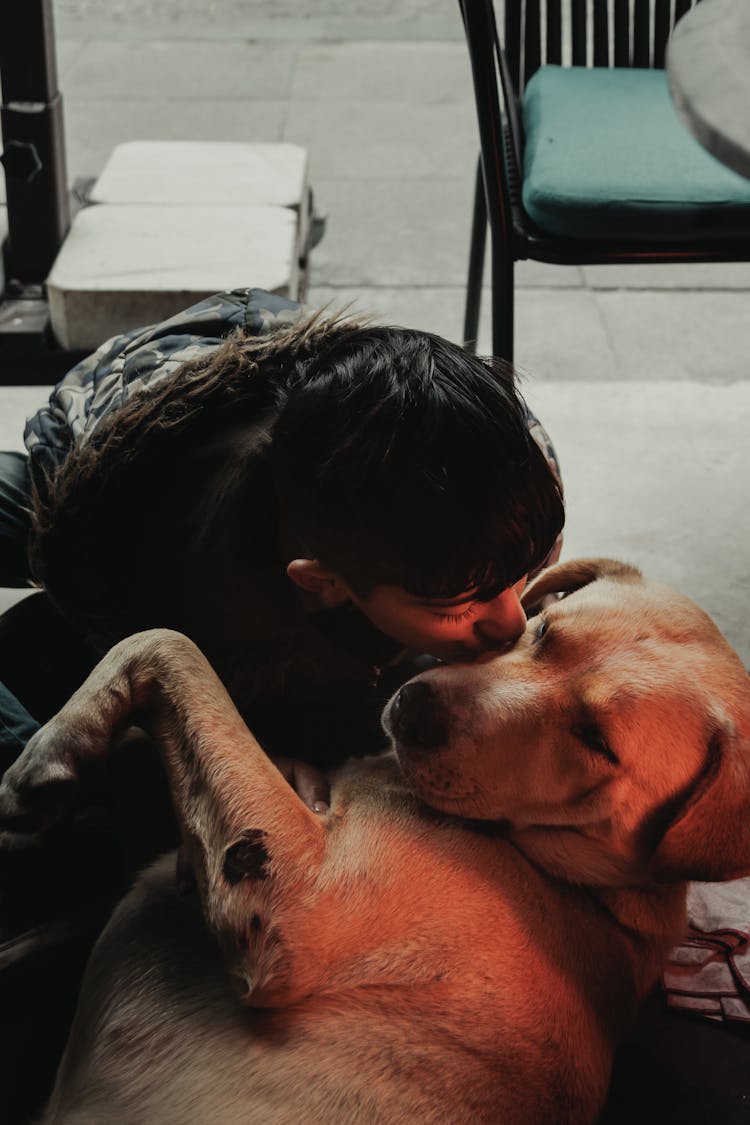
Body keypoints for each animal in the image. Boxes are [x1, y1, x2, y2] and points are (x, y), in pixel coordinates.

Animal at [1, 558, 750, 1120]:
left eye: (596, 741)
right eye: (540, 629)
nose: (417, 709)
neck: (580, 880)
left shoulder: (298, 899)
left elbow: (169, 640)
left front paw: (56, 745)